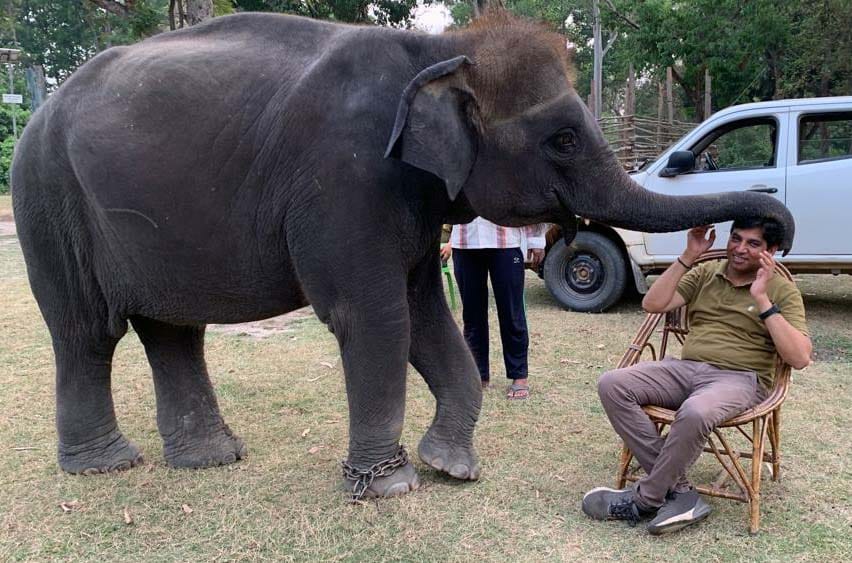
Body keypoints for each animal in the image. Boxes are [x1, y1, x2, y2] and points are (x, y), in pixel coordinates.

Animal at [11, 11, 794, 498]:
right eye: (565, 138)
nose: (769, 228)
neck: (439, 49)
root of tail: (40, 111)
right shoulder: (346, 180)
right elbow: (376, 317)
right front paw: (388, 485)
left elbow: (423, 315)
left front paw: (452, 468)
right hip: (47, 198)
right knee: (87, 331)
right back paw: (105, 467)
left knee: (172, 330)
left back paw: (208, 460)